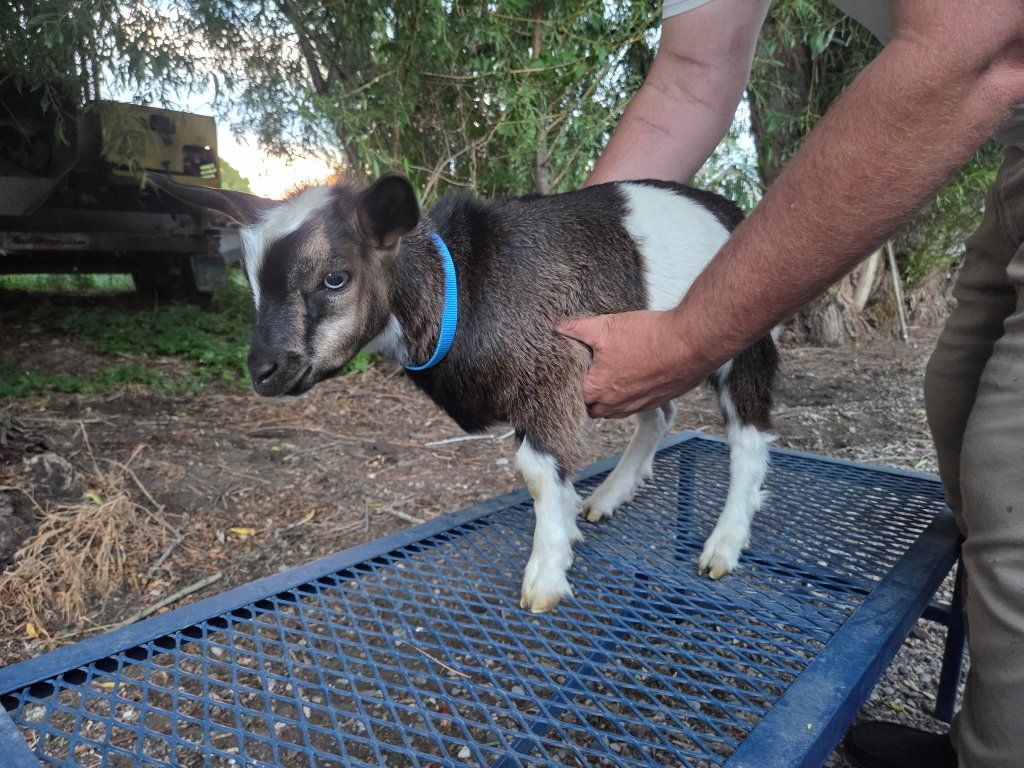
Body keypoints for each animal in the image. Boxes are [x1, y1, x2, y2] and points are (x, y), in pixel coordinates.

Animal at [148, 173, 778, 613]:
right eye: (252, 283)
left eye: (335, 278)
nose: (264, 371)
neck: (460, 288)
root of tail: (730, 210)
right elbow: (552, 476)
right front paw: (570, 524)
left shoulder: (553, 369)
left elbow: (536, 472)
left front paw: (545, 576)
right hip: (651, 355)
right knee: (661, 414)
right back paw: (610, 496)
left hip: (739, 340)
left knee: (749, 438)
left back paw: (723, 545)